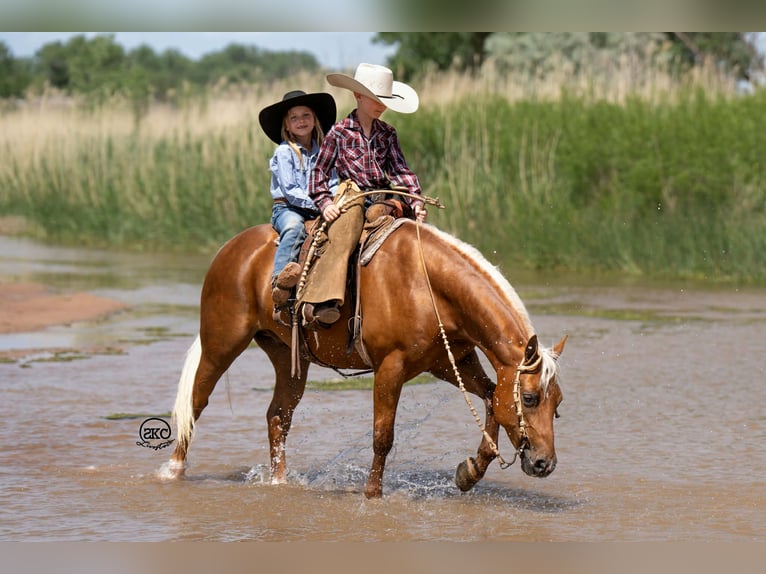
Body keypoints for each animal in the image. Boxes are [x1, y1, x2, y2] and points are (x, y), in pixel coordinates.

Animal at [167, 220, 567, 498]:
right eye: (530, 398)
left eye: (558, 404)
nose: (545, 464)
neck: (427, 285)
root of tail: (231, 248)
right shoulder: (391, 367)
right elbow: (382, 436)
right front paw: (373, 494)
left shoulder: (449, 362)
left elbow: (490, 399)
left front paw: (470, 472)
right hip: (222, 343)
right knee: (197, 401)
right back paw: (171, 471)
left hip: (288, 357)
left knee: (278, 416)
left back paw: (280, 483)